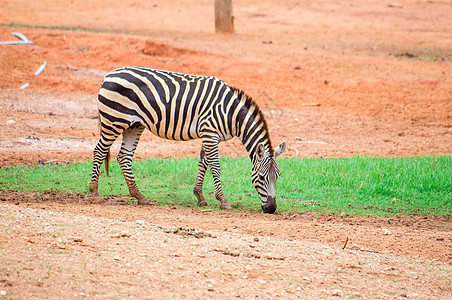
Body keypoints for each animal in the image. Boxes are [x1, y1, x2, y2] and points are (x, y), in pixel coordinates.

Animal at [89, 67, 286, 214]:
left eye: (278, 176)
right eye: (261, 177)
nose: (271, 209)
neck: (231, 113)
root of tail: (109, 74)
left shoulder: (210, 135)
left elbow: (203, 163)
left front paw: (200, 197)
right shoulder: (210, 132)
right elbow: (215, 166)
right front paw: (223, 200)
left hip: (134, 125)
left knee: (124, 157)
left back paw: (139, 196)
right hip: (114, 120)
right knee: (99, 151)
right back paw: (94, 193)